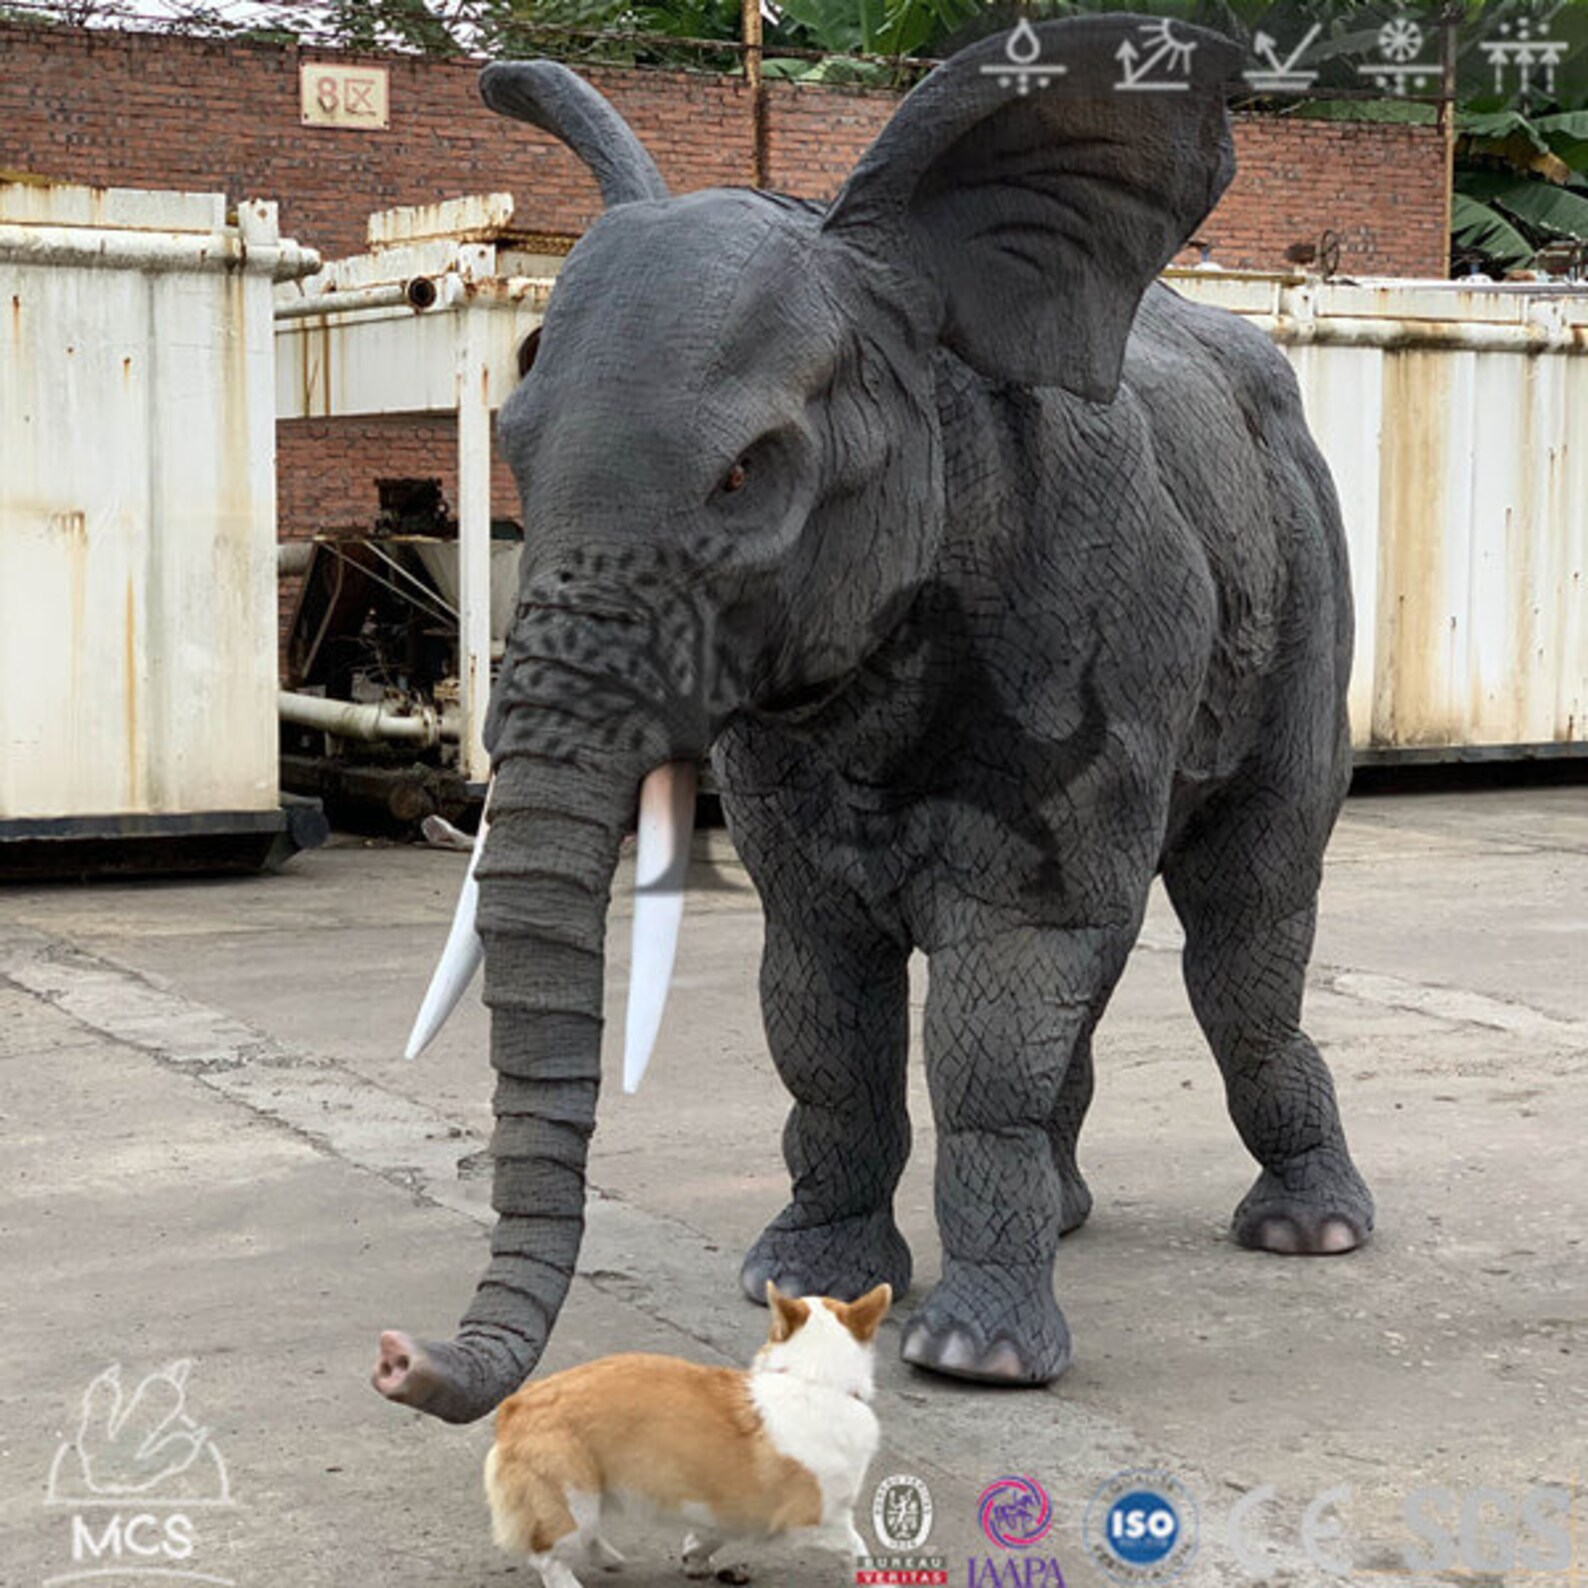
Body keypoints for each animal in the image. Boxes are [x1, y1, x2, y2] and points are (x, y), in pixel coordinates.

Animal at [371, 13, 1375, 1425]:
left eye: (747, 475)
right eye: (510, 443)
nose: (398, 1359)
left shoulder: (1085, 621)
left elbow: (1001, 996)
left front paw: (976, 1360)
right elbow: (816, 988)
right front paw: (795, 1284)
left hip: (1304, 580)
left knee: (1244, 927)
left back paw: (1311, 1230)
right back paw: (1072, 1212)